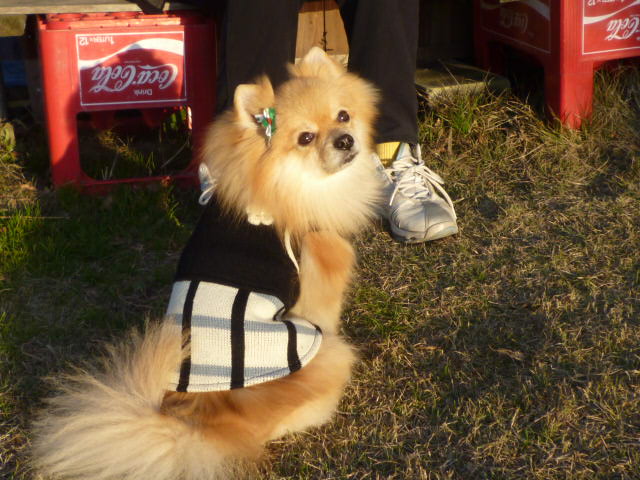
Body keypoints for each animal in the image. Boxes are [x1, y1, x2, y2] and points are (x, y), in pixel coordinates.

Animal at [31, 47, 381, 480]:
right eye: (305, 138)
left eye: (343, 116)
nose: (345, 140)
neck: (290, 188)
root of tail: (205, 421)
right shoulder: (317, 282)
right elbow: (325, 312)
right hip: (328, 353)